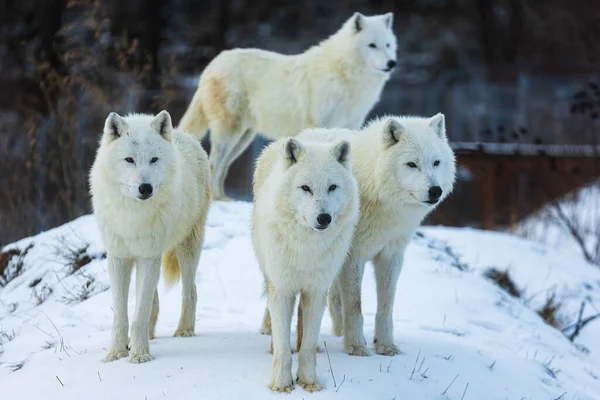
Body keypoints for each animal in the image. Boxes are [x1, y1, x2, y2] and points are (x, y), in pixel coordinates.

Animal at [88, 109, 211, 362]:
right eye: (129, 160)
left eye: (154, 159)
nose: (145, 188)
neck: (133, 215)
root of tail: (185, 135)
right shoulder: (119, 258)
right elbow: (122, 315)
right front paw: (116, 353)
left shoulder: (148, 256)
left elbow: (139, 315)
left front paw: (140, 355)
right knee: (154, 301)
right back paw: (150, 336)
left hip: (186, 248)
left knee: (190, 290)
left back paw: (184, 331)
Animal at [179, 11, 398, 200]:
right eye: (372, 45)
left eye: (388, 45)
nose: (392, 63)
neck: (345, 75)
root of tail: (213, 64)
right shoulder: (317, 124)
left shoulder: (349, 126)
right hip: (229, 133)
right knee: (213, 164)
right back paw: (217, 199)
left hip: (243, 139)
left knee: (222, 167)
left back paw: (223, 198)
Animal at [251, 133, 358, 392]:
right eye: (306, 188)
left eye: (332, 187)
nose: (324, 218)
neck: (307, 247)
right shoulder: (282, 289)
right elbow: (282, 343)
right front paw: (281, 385)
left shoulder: (317, 290)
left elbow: (308, 344)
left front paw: (309, 383)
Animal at [260, 112, 458, 356]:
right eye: (412, 164)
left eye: (436, 162)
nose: (435, 191)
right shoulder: (354, 256)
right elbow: (355, 304)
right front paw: (356, 346)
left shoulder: (391, 255)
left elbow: (386, 305)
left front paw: (385, 345)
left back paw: (333, 333)